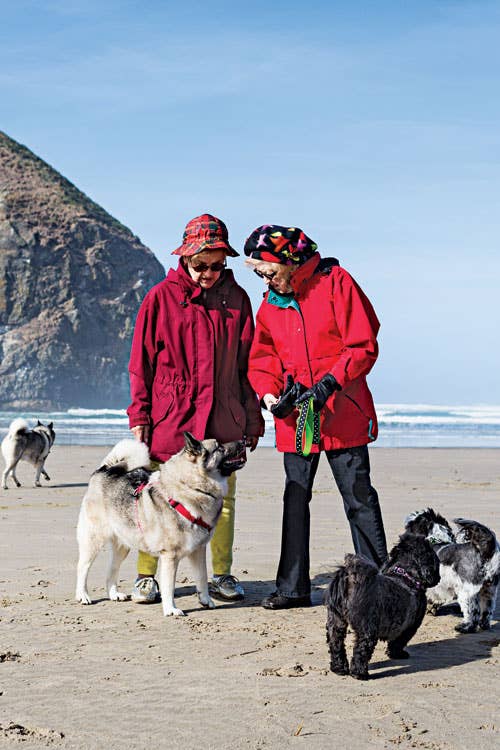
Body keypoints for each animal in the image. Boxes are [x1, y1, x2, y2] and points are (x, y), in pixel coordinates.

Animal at [75, 434, 245, 616]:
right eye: (219, 447)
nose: (243, 441)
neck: (191, 487)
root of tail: (105, 469)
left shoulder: (198, 551)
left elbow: (202, 577)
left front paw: (205, 600)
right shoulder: (170, 556)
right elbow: (169, 586)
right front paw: (171, 609)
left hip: (123, 545)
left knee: (112, 569)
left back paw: (114, 594)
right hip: (94, 541)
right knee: (83, 568)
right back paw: (83, 595)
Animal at [324, 536, 438, 680]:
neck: (405, 576)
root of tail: (351, 579)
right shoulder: (409, 626)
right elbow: (398, 642)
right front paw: (397, 654)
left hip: (336, 621)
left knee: (336, 643)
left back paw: (338, 668)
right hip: (367, 629)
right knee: (361, 649)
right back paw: (359, 673)